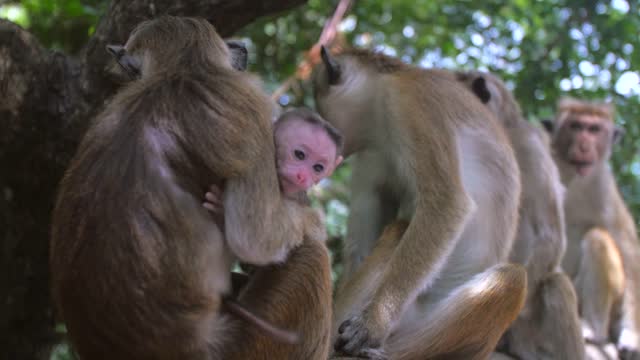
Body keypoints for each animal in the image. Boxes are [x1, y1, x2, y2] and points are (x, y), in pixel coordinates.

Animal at [312, 47, 528, 360]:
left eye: (319, 104)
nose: (325, 136)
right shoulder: (372, 152)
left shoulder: (411, 101)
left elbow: (448, 203)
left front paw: (373, 324)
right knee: (398, 230)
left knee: (511, 278)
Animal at [540, 97, 640, 358]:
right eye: (576, 126)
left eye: (594, 129)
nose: (585, 145)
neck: (572, 178)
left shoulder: (605, 190)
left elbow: (630, 254)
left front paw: (632, 336)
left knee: (598, 239)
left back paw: (593, 330)